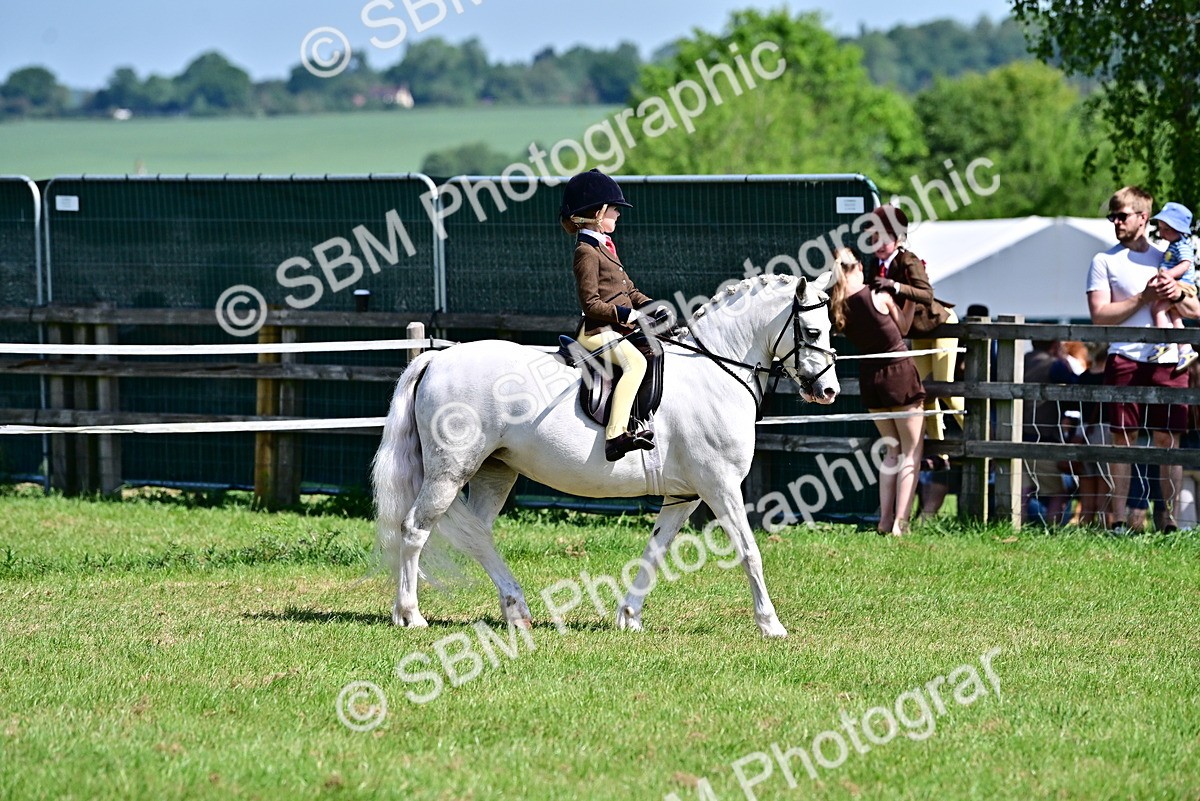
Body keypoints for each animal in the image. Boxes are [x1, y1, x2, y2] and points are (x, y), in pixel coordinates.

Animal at [371, 272, 839, 638]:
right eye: (813, 332)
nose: (828, 391)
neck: (715, 371)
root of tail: (436, 359)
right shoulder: (720, 486)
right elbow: (748, 551)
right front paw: (771, 625)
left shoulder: (684, 496)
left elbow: (656, 549)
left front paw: (629, 617)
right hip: (450, 472)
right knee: (414, 529)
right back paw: (410, 615)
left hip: (494, 471)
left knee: (478, 536)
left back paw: (517, 611)